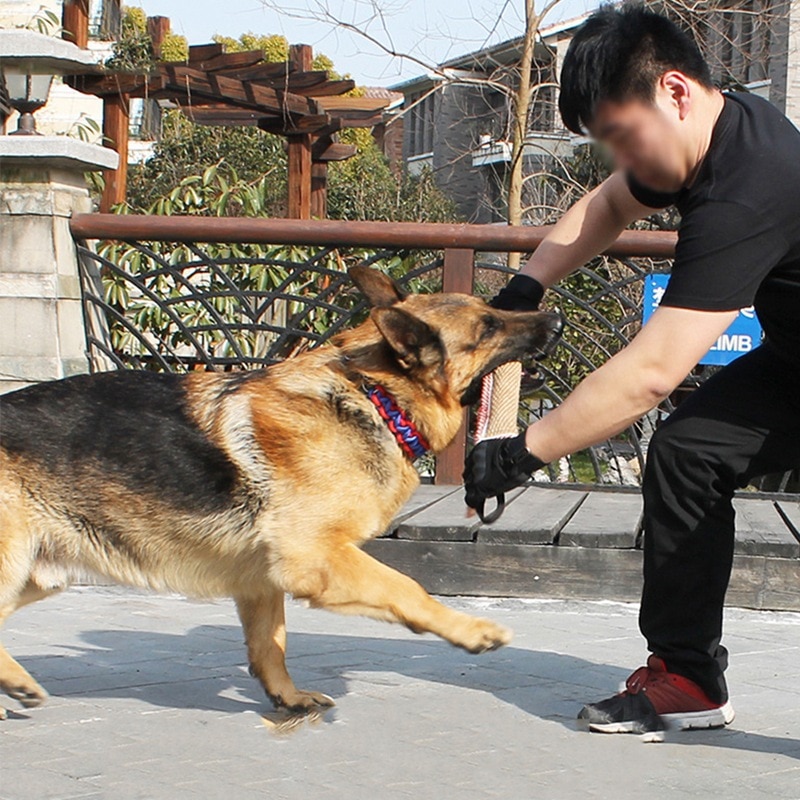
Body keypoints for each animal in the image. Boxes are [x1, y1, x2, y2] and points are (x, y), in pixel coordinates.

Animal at [0, 268, 564, 720]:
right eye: (488, 327)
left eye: (495, 309)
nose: (556, 319)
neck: (375, 396)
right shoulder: (317, 556)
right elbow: (408, 589)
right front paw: (471, 631)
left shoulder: (262, 581)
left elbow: (270, 644)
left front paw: (287, 699)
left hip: (39, 575)